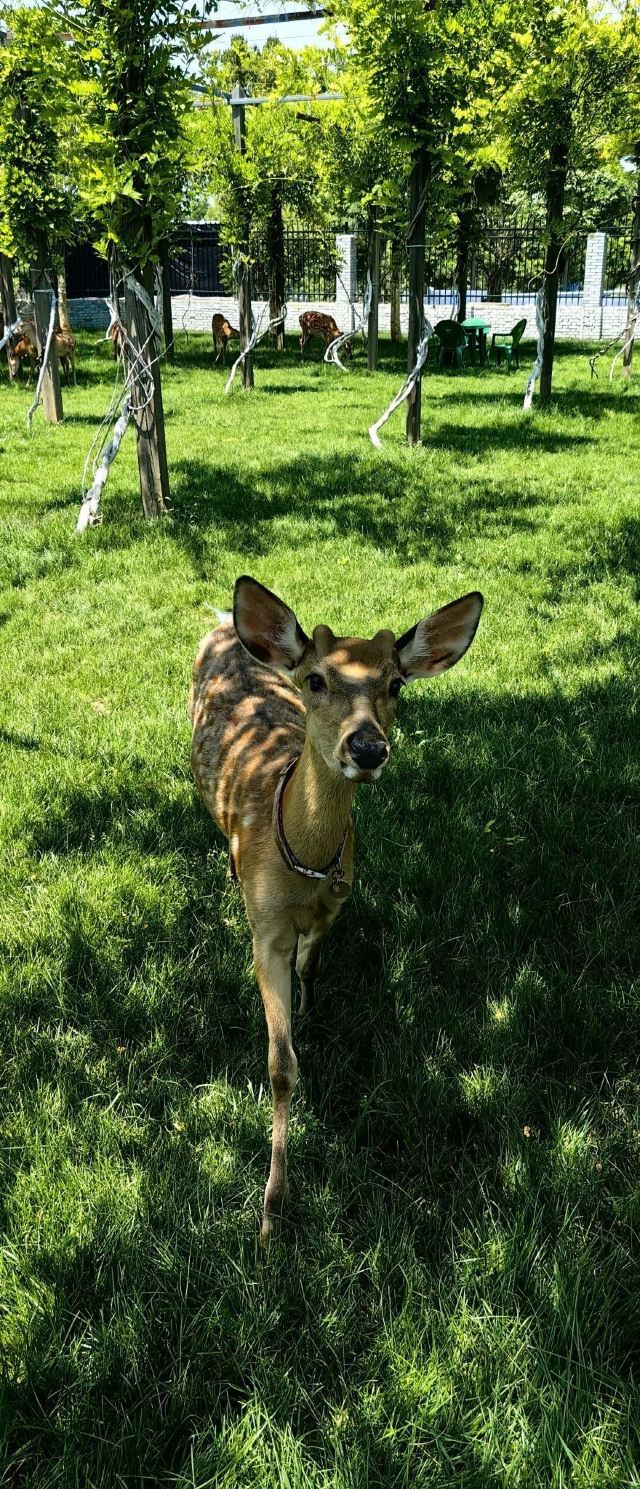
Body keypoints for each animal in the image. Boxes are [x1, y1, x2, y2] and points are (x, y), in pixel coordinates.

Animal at [190, 576, 483, 1242]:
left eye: (395, 683)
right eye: (317, 679)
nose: (368, 746)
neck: (302, 864)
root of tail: (223, 623)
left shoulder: (334, 905)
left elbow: (311, 966)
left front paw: (311, 1009)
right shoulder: (264, 930)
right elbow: (279, 1065)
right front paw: (272, 1210)